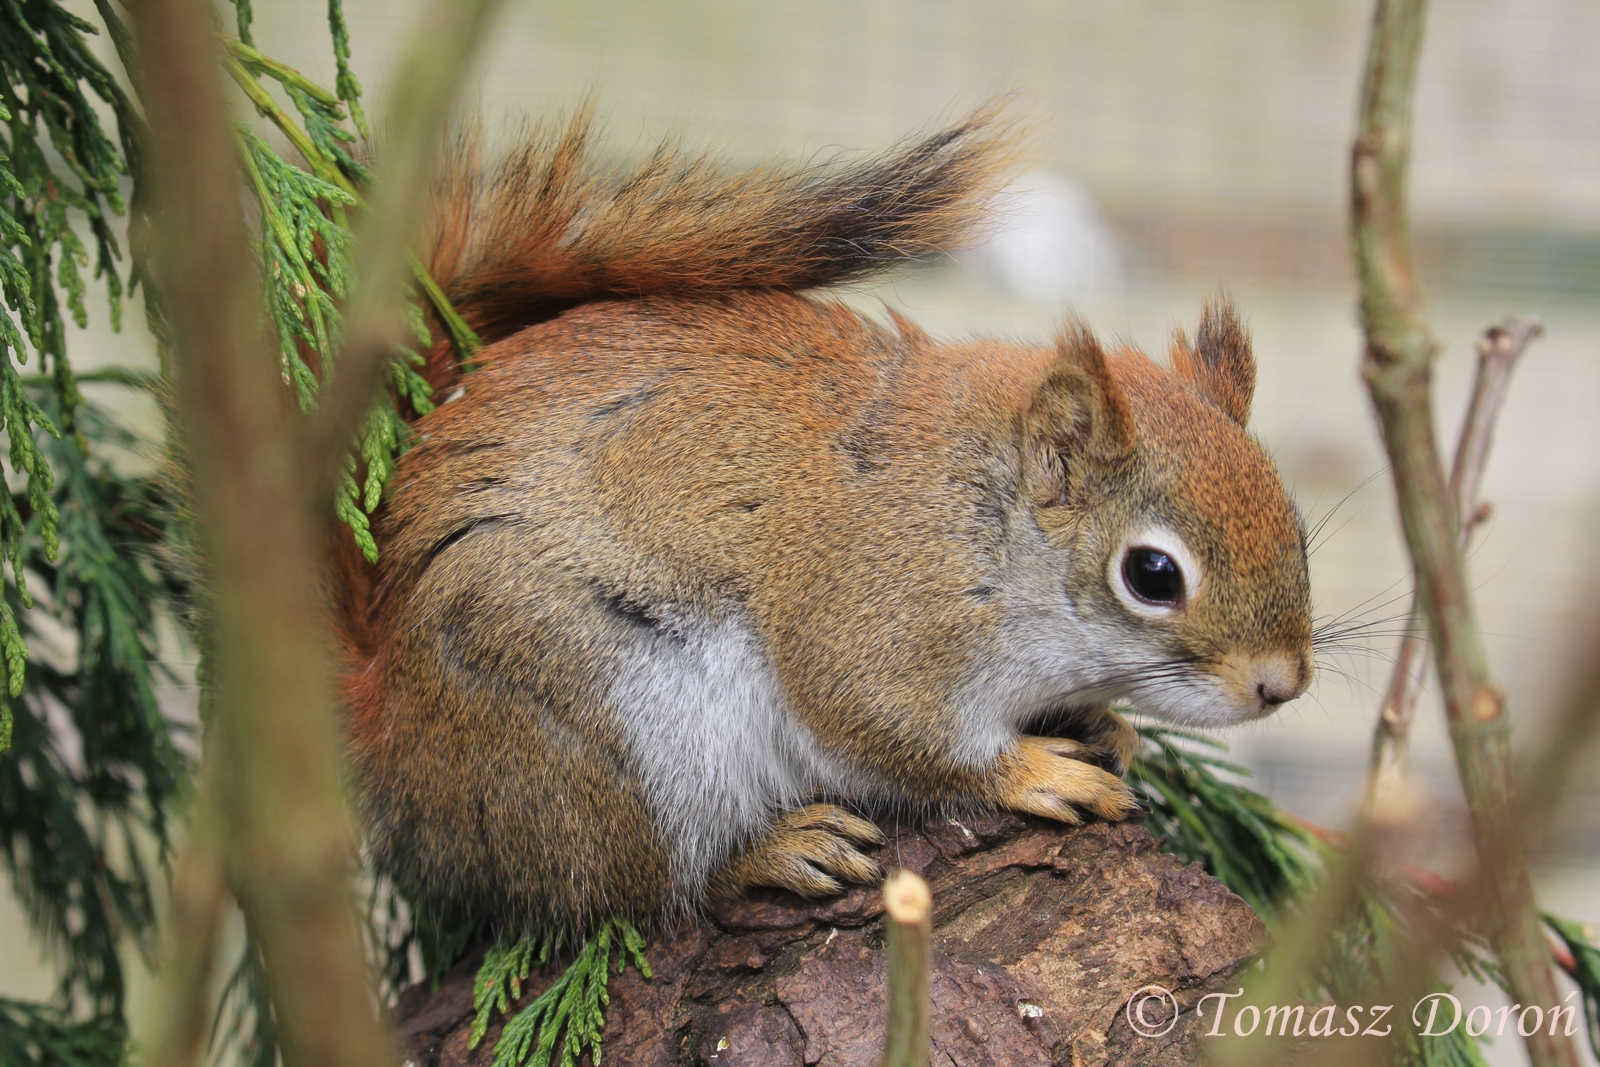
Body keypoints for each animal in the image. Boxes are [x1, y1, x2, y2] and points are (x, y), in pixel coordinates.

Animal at [334, 103, 1314, 935]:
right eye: (1153, 574)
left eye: (1297, 529)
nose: (1281, 685)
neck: (984, 517)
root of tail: (389, 714)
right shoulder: (873, 614)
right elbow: (890, 727)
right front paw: (1037, 770)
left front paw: (1108, 726)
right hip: (607, 731)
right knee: (646, 884)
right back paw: (774, 848)